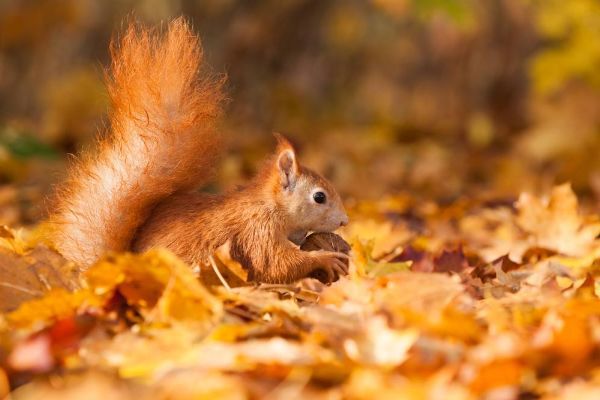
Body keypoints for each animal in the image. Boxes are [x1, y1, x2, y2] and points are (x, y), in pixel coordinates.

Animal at [48, 17, 352, 282]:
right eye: (319, 197)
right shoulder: (257, 230)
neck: (269, 205)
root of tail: (124, 265)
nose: (345, 221)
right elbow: (275, 263)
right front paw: (325, 258)